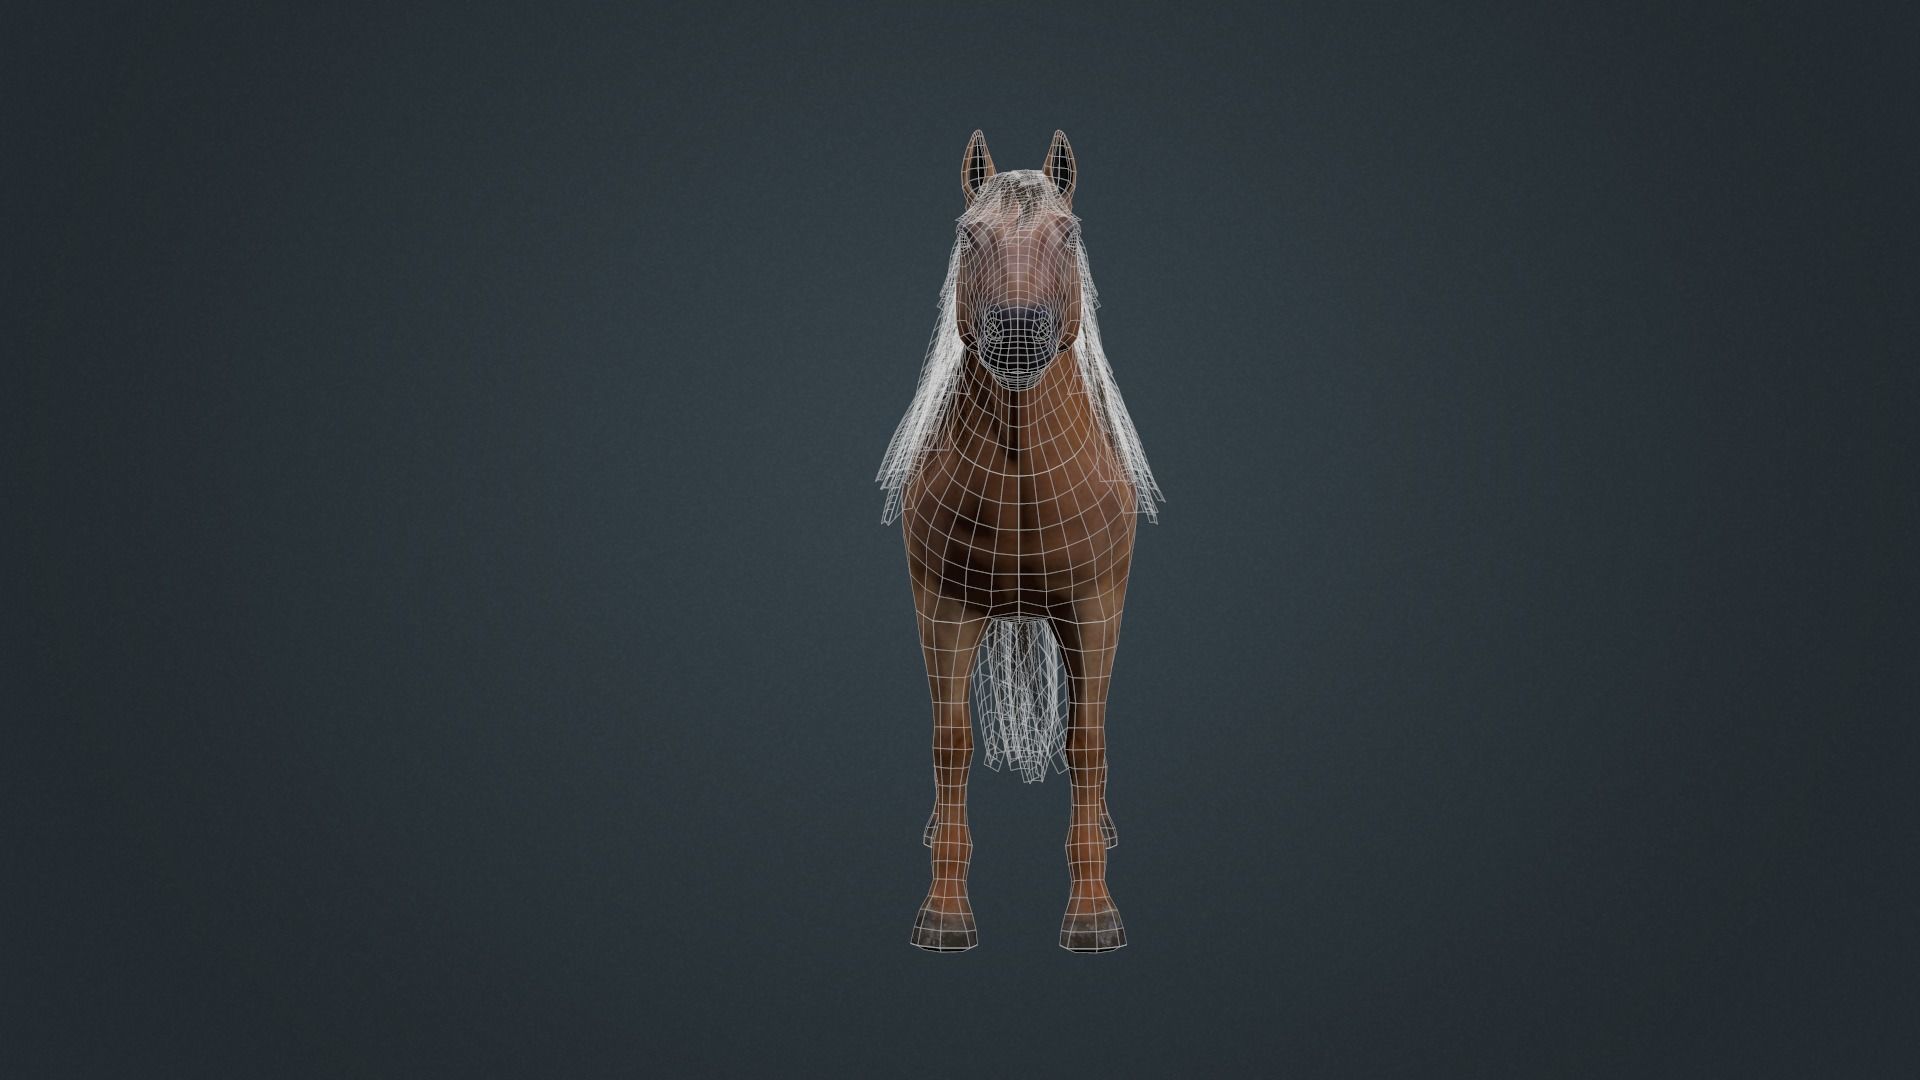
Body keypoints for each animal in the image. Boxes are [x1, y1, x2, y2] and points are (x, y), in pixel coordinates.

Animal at [877, 130, 1162, 952]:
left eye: (1067, 234)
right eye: (970, 235)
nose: (1017, 332)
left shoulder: (1096, 608)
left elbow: (1085, 745)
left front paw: (1093, 914)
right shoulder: (942, 609)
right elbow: (952, 745)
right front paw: (944, 914)